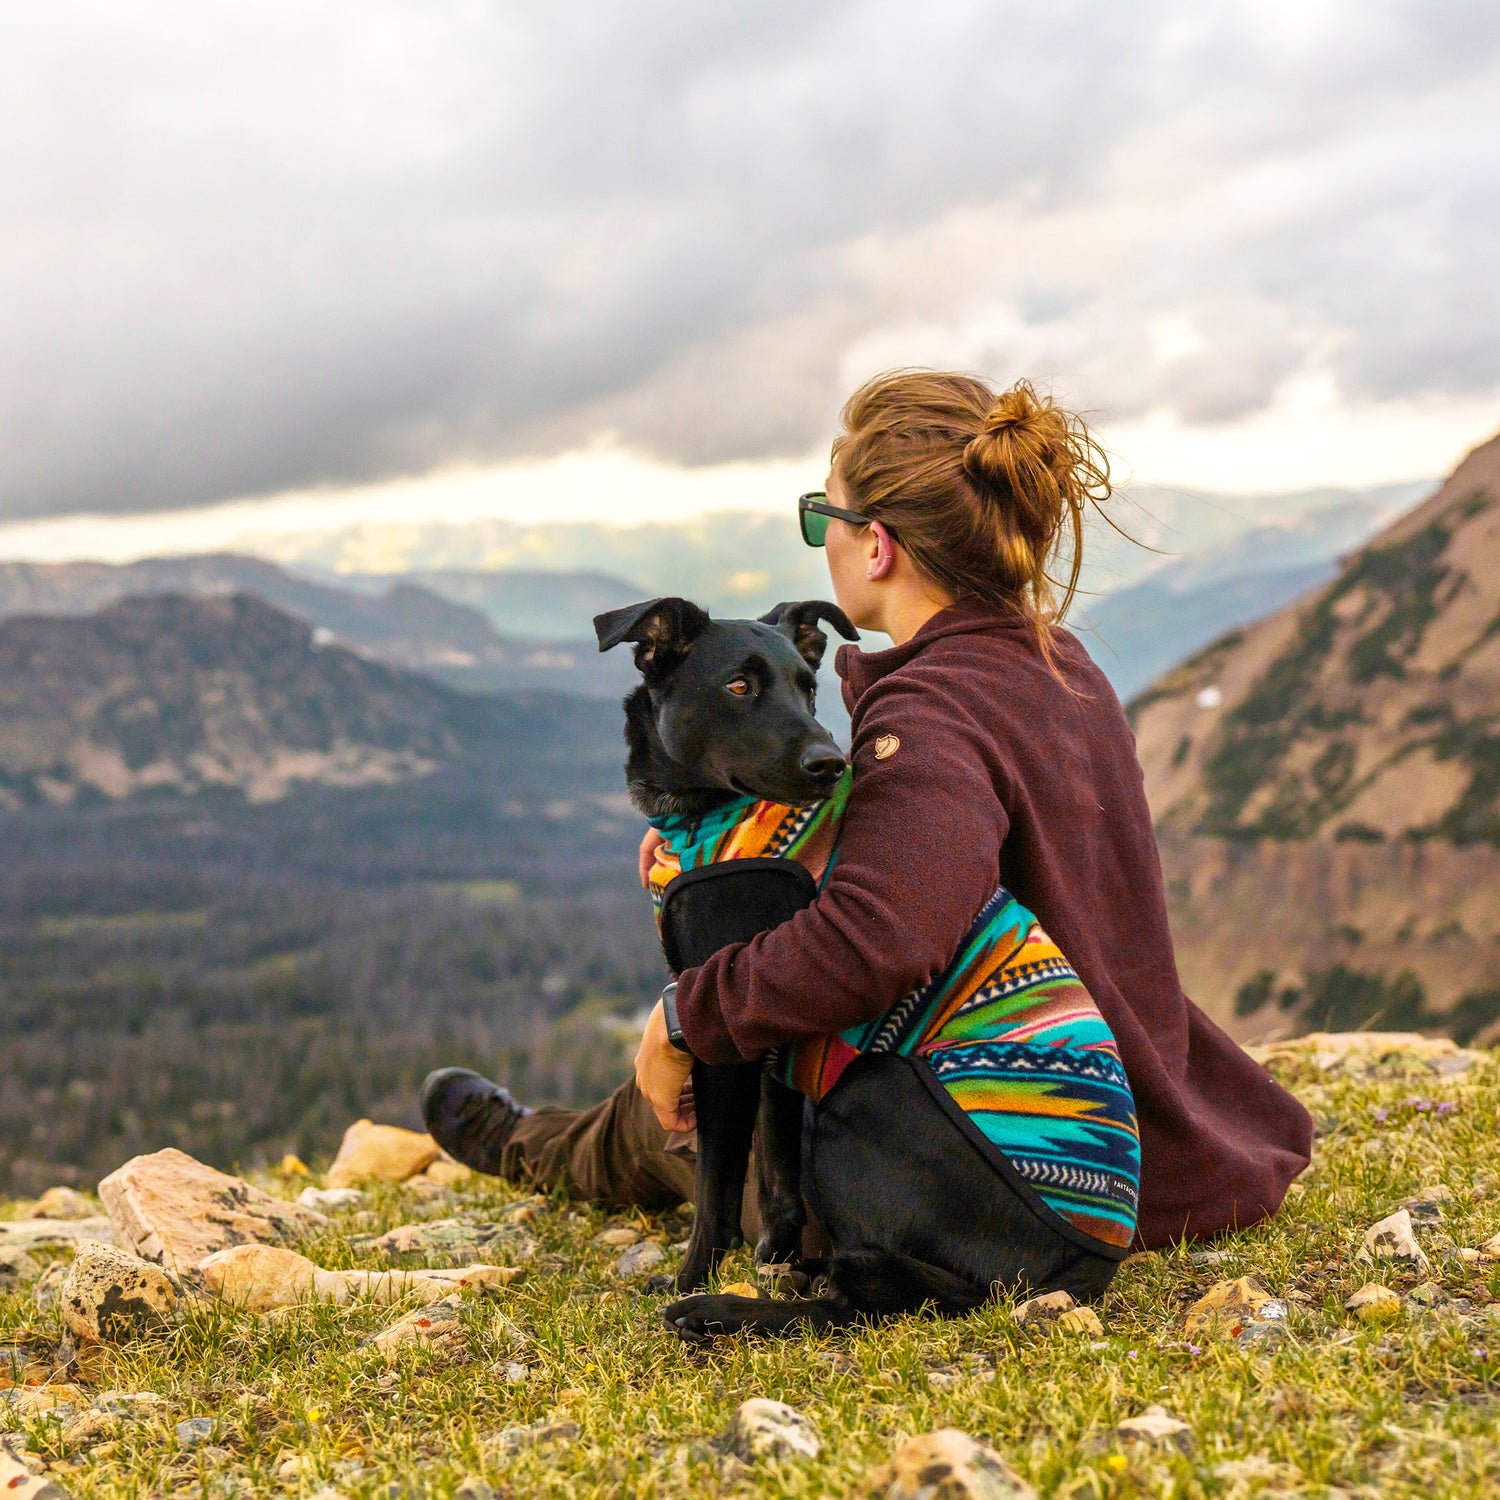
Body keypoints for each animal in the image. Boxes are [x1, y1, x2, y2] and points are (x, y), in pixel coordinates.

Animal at [591, 594, 1122, 1338]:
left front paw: (692, 1277)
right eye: (738, 686)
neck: (708, 816)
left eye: (807, 689)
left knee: (878, 1300)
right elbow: (777, 1171)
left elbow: (716, 1190)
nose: (829, 763)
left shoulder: (722, 1030)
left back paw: (719, 1310)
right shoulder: (769, 1034)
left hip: (865, 1090)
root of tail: (1090, 1263)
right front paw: (777, 1255)